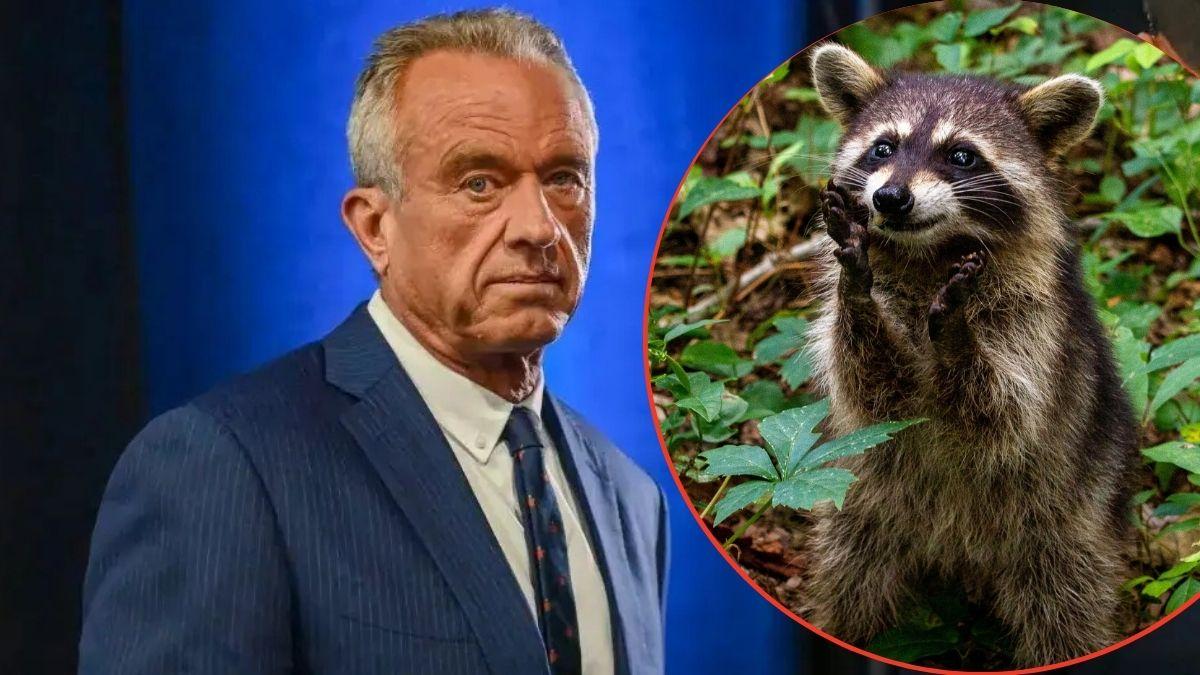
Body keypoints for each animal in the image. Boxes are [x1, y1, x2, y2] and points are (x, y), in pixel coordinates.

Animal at [801, 43, 1139, 666]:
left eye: (962, 156)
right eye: (883, 147)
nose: (890, 198)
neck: (929, 254)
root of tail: (960, 558)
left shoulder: (1035, 322)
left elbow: (1005, 415)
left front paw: (957, 337)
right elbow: (871, 393)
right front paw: (857, 289)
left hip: (1067, 522)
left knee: (1065, 612)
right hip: (862, 510)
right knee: (850, 582)